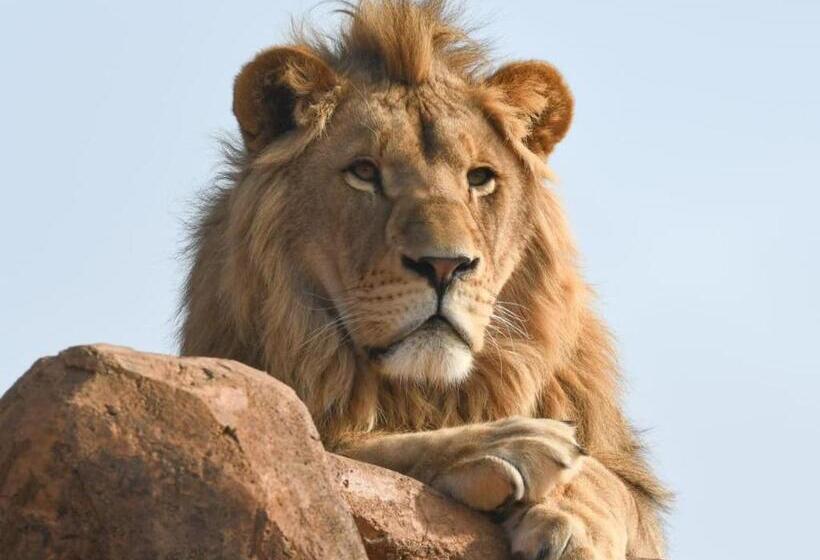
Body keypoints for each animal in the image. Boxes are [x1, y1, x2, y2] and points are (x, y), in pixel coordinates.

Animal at [179, 1, 670, 558]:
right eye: (364, 172)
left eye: (479, 178)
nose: (444, 266)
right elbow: (346, 447)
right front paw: (503, 445)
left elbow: (610, 483)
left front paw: (575, 524)